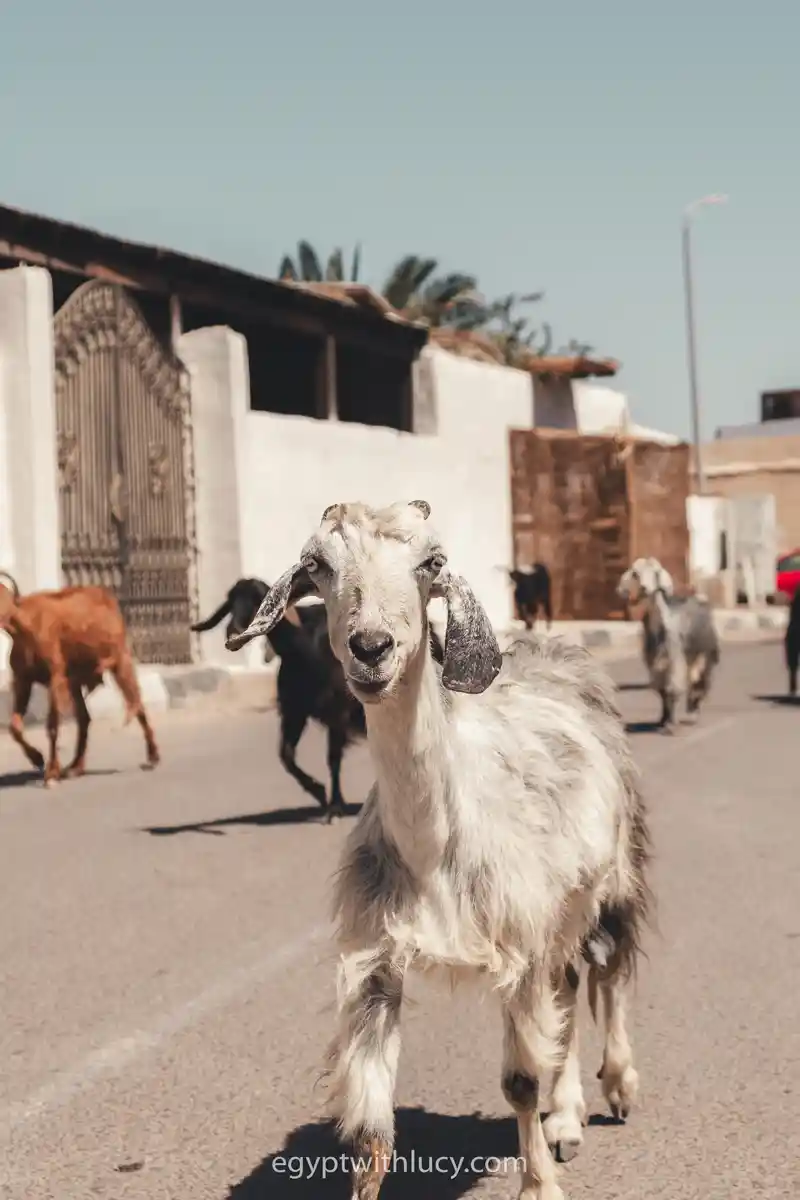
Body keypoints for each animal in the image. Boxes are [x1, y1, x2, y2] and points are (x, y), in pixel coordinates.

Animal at [0, 574, 159, 786]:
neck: (25, 627)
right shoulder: (23, 681)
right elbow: (15, 727)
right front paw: (37, 758)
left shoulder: (56, 679)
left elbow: (52, 726)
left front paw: (52, 772)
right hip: (75, 682)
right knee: (85, 718)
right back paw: (76, 766)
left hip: (121, 663)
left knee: (137, 704)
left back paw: (153, 755)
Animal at [192, 578, 445, 819]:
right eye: (231, 602)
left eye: (259, 599)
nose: (233, 631)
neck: (302, 649)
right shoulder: (295, 712)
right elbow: (286, 755)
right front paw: (319, 793)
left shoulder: (338, 712)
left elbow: (333, 758)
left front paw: (335, 806)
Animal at [226, 501, 651, 1200]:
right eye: (318, 564)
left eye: (431, 562)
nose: (371, 649)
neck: (436, 850)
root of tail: (553, 650)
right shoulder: (375, 957)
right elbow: (371, 1125)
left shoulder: (518, 946)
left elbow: (519, 1081)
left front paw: (539, 1186)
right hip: (559, 911)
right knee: (568, 988)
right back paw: (566, 1119)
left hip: (613, 875)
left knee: (609, 972)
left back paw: (617, 1086)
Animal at [617, 557, 719, 731]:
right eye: (636, 574)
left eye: (655, 573)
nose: (645, 588)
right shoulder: (653, 663)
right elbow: (662, 690)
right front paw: (663, 719)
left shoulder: (675, 657)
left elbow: (673, 689)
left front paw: (672, 724)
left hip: (705, 654)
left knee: (700, 682)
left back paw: (693, 711)